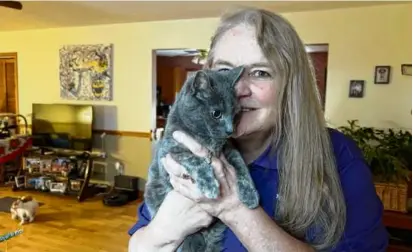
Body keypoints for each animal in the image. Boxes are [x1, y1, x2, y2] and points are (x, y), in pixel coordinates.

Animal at [145, 66, 260, 251]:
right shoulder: (170, 152)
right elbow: (196, 160)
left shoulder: (230, 149)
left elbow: (242, 167)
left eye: (236, 114)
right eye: (216, 114)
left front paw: (250, 196)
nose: (230, 130)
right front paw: (210, 186)